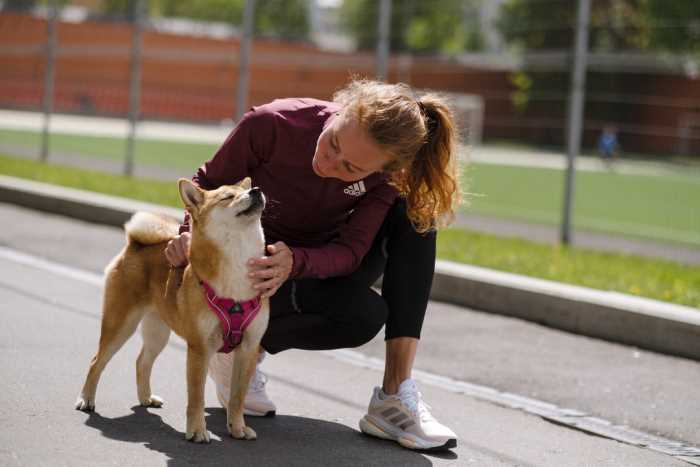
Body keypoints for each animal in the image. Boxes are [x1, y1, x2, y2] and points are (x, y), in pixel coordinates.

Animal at [76, 178, 268, 442]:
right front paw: (197, 431)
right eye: (227, 197)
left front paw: (238, 428)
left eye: (246, 189)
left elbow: (237, 397)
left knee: (142, 362)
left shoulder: (249, 348)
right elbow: (196, 397)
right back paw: (86, 399)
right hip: (120, 325)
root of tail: (135, 245)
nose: (256, 191)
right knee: (96, 361)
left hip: (158, 333)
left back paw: (146, 398)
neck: (237, 265)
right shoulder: (199, 349)